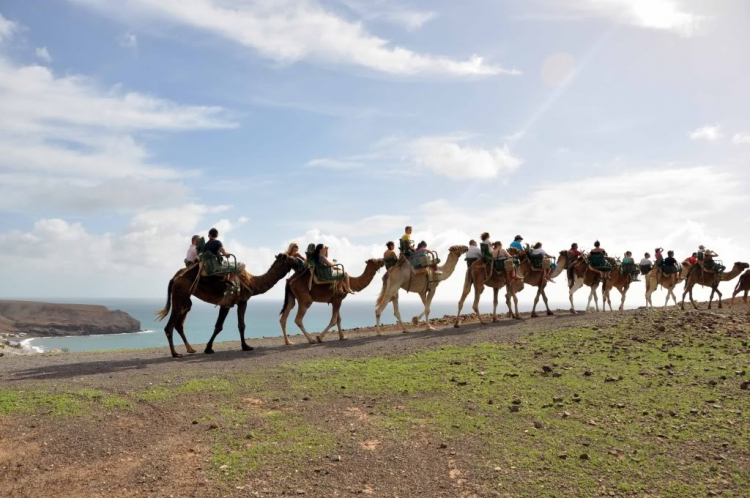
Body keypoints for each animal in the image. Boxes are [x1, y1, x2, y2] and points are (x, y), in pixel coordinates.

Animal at [156, 253, 300, 358]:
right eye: (289, 258)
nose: (299, 261)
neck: (252, 283)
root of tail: (174, 278)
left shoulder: (226, 304)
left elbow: (219, 326)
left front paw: (208, 348)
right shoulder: (242, 301)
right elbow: (240, 325)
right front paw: (246, 346)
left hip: (185, 299)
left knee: (179, 324)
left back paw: (190, 349)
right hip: (180, 295)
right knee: (169, 326)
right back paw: (175, 353)